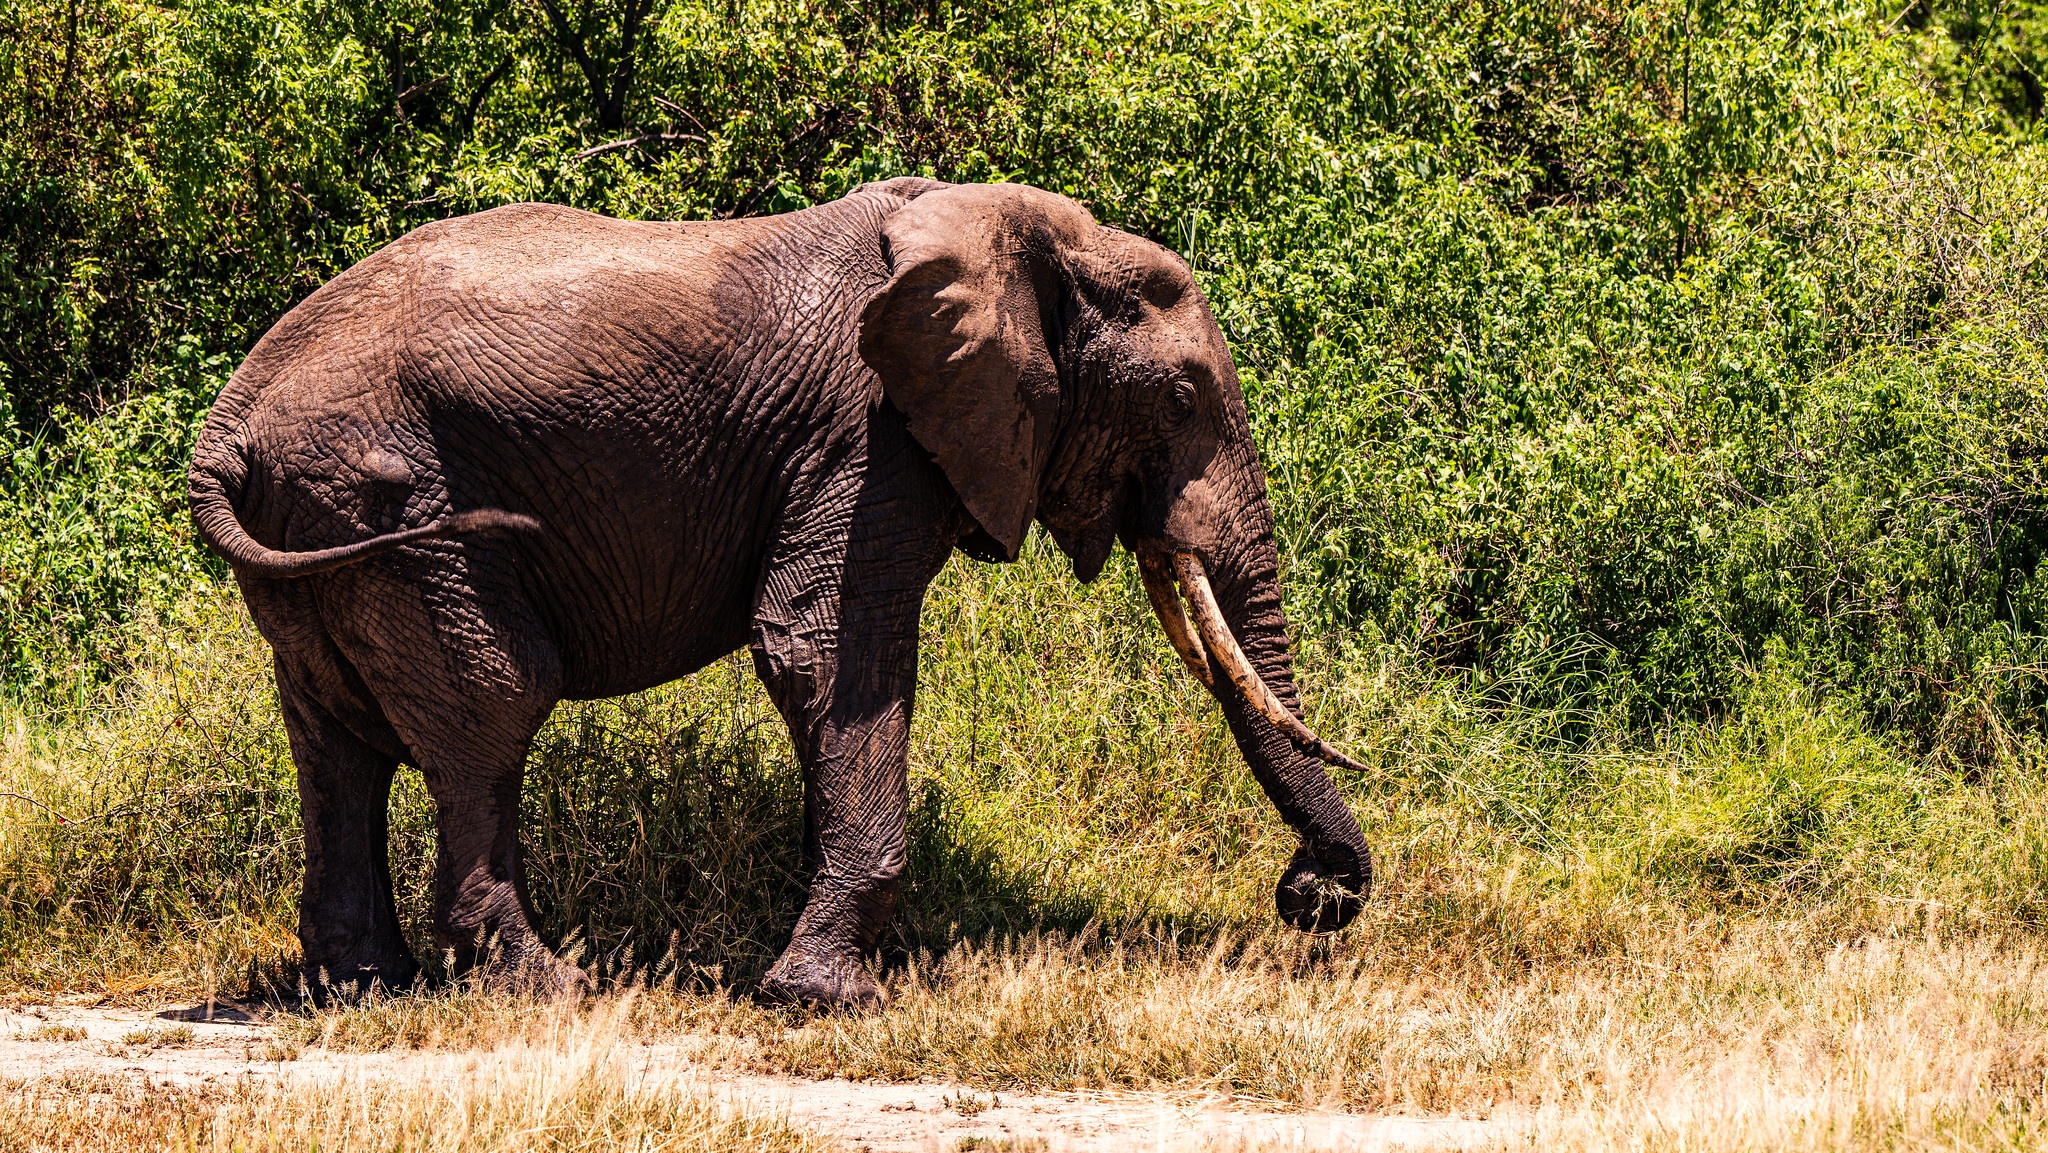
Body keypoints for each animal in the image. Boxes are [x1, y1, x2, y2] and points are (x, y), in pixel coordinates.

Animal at [192, 174, 1368, 1011]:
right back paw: (550, 986)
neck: (1024, 234)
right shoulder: (868, 434)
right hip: (390, 501)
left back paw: (363, 988)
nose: (1308, 896)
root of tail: (228, 426)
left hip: (324, 526)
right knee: (489, 709)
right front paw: (826, 999)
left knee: (335, 738)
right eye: (1180, 397)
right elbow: (822, 648)